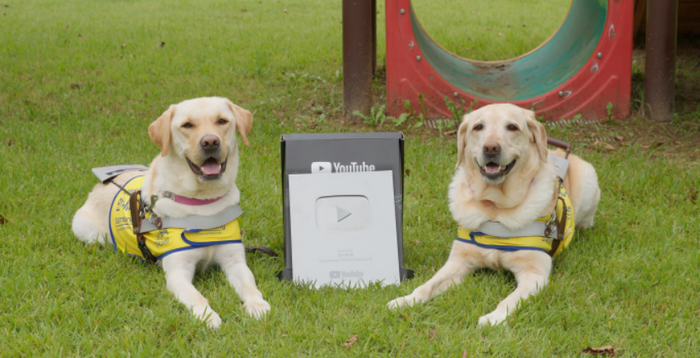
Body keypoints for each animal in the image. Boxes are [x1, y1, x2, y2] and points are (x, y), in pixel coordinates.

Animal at [71, 96, 268, 328]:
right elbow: (196, 296)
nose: (210, 142)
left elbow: (250, 285)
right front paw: (207, 316)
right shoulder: (178, 272)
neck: (204, 204)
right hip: (90, 232)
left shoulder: (235, 261)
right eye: (187, 125)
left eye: (222, 121)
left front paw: (257, 305)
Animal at [388, 104, 596, 328]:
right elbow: (427, 285)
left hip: (589, 180)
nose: (490, 148)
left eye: (512, 127)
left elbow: (510, 299)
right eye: (478, 127)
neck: (495, 207)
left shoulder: (535, 274)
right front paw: (406, 300)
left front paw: (493, 318)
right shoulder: (457, 263)